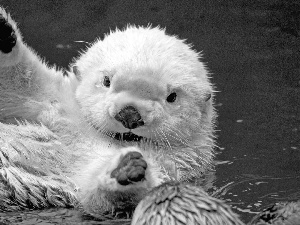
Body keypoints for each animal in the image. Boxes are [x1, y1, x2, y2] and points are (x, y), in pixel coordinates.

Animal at [0, 6, 216, 218]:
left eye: (172, 97)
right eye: (106, 81)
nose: (129, 115)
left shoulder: (173, 167)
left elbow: (100, 198)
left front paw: (126, 171)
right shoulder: (57, 103)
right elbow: (20, 85)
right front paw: (4, 34)